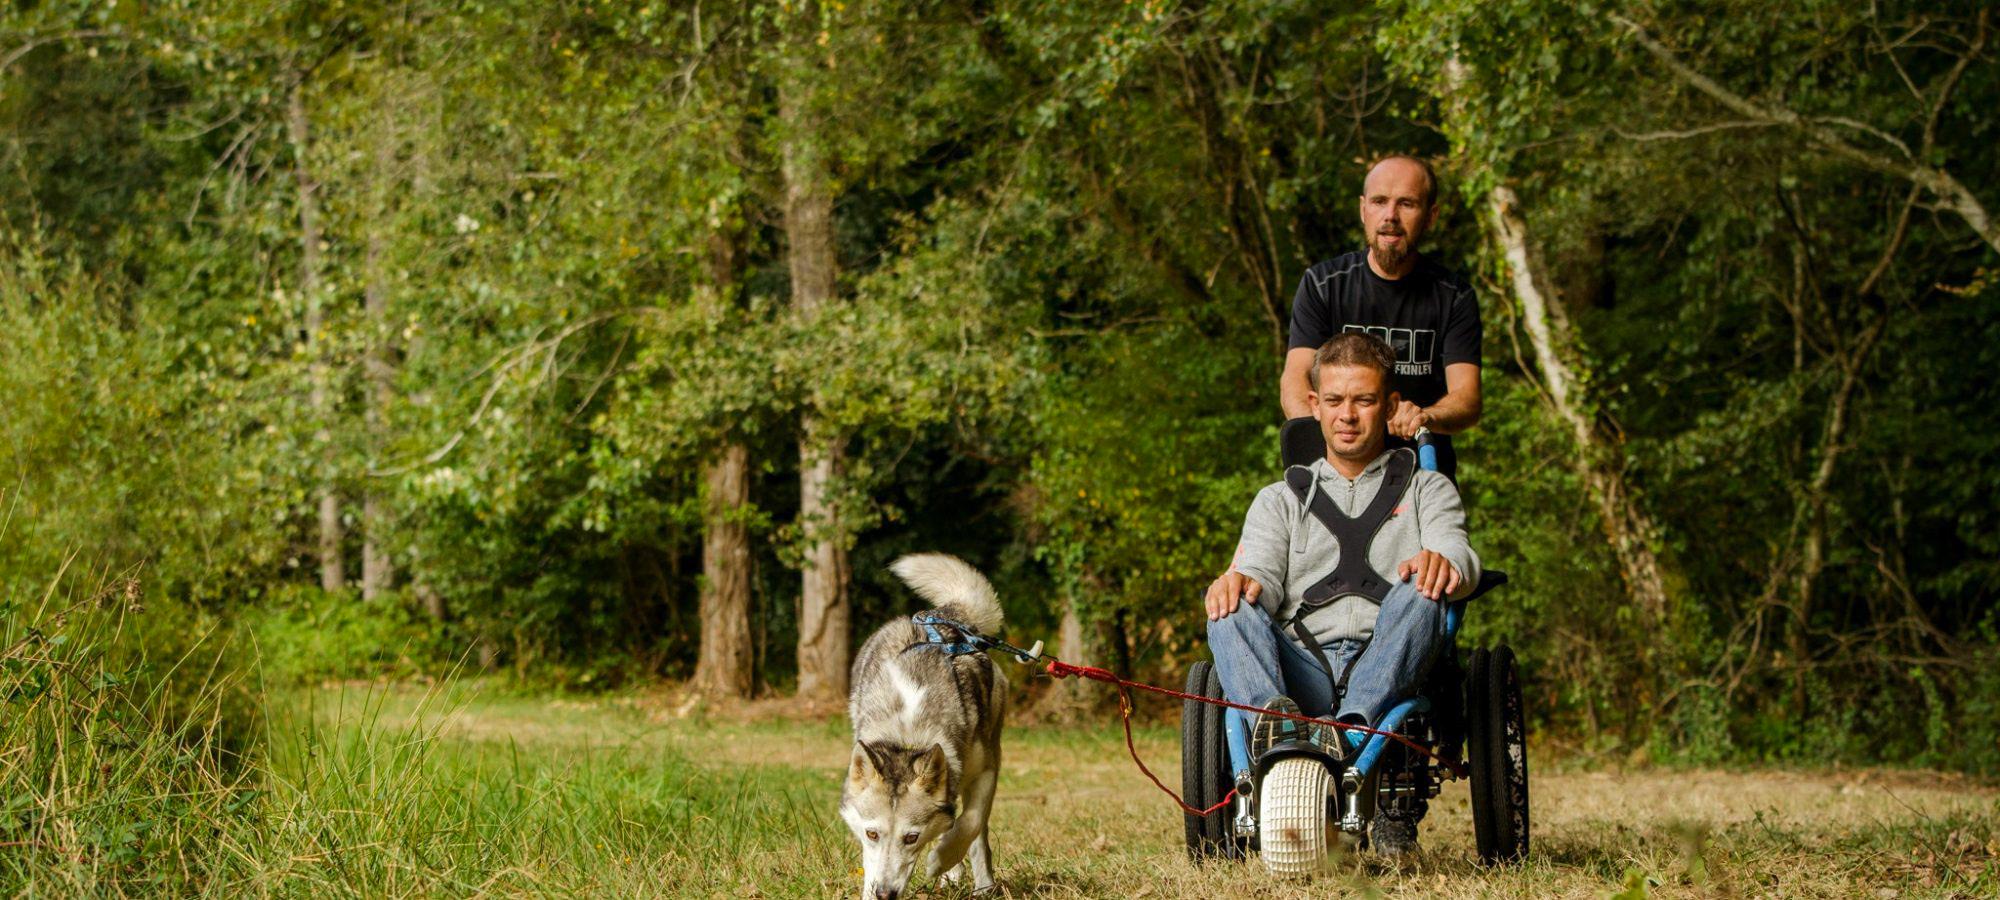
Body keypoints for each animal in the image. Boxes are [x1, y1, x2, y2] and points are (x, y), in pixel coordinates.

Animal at [840, 552, 1008, 896]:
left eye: (911, 837)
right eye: (872, 834)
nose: (884, 894)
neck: (908, 736)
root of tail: (942, 614)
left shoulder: (986, 771)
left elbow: (969, 823)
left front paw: (941, 859)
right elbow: (869, 862)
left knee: (977, 834)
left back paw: (981, 884)